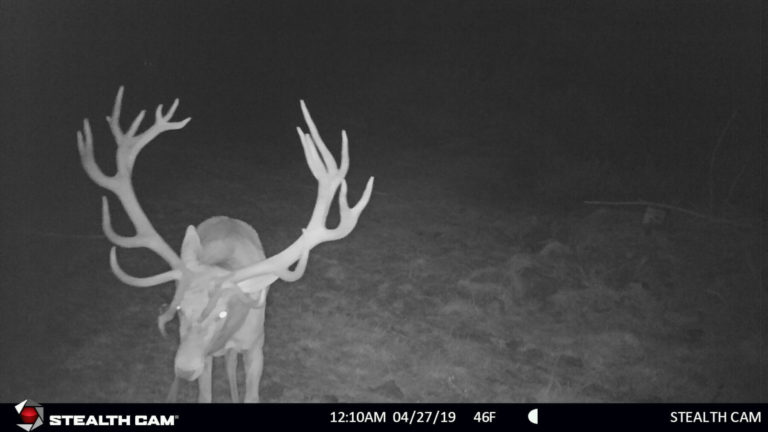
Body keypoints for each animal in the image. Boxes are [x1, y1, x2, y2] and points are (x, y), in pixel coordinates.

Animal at [77, 86, 374, 402]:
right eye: (179, 310)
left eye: (221, 313)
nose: (184, 369)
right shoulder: (206, 357)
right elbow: (205, 395)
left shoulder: (257, 345)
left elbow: (251, 395)